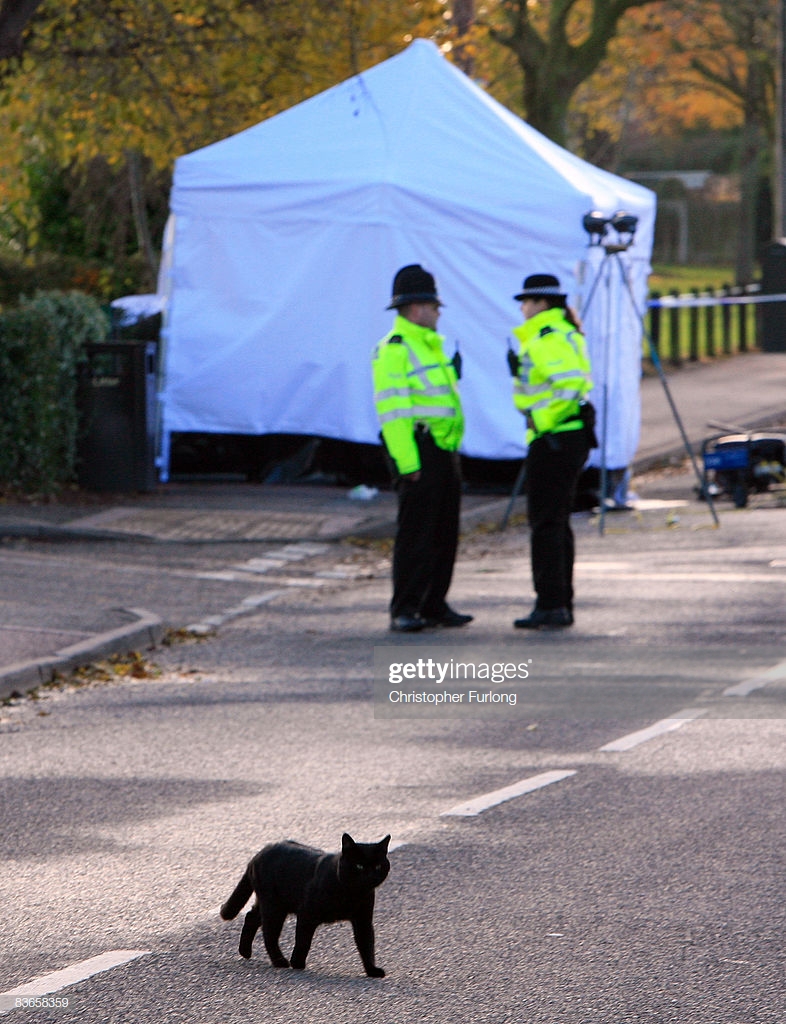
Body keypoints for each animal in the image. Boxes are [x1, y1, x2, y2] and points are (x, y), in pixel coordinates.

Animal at [219, 831, 390, 974]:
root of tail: (257, 856)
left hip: (272, 904)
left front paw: (372, 970)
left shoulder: (363, 920)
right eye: (359, 866)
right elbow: (303, 941)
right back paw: (280, 962)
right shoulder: (307, 914)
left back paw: (245, 951)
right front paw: (297, 963)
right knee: (269, 934)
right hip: (274, 907)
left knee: (251, 917)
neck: (351, 894)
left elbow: (367, 944)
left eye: (378, 866)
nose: (370, 876)